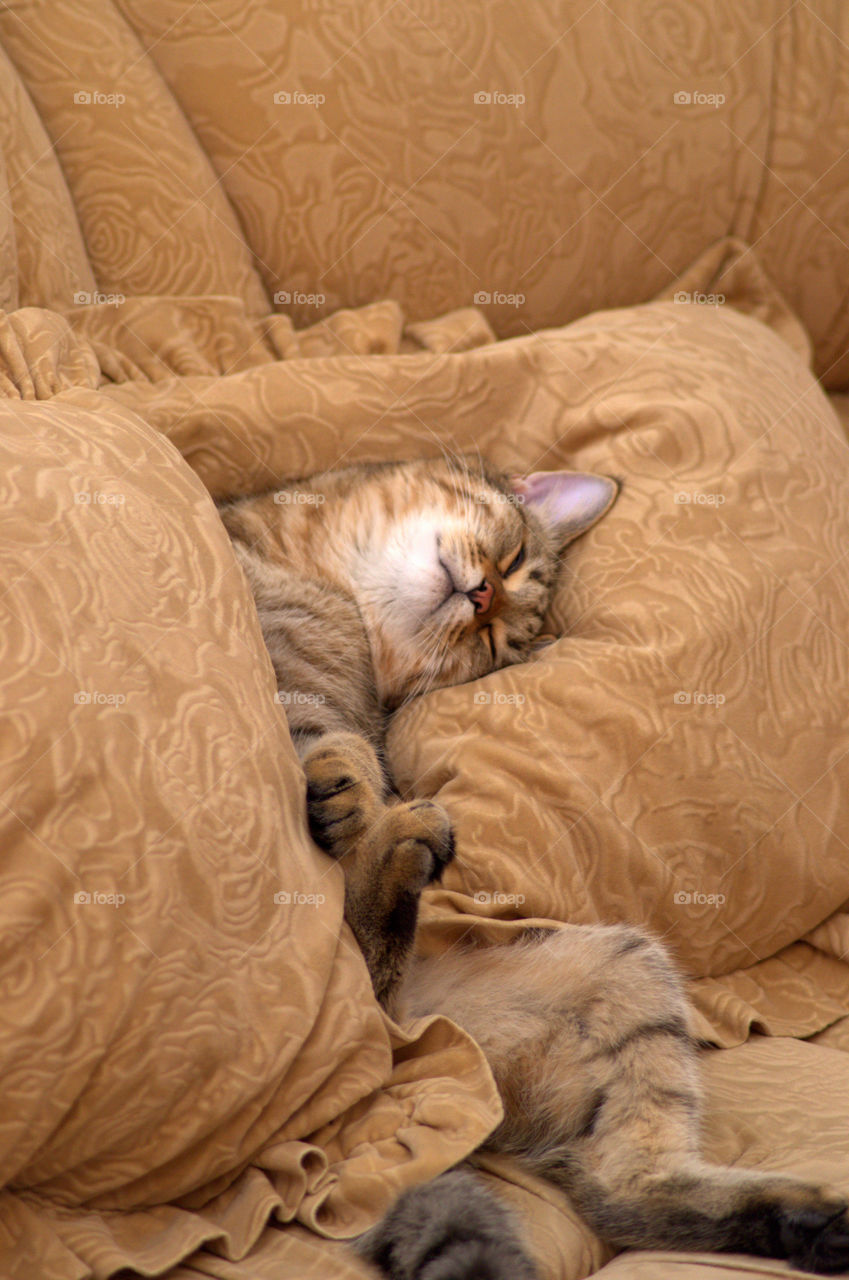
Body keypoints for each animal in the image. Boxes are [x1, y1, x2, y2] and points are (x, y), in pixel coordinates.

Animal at [218, 455, 849, 1274]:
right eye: (513, 559)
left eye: (489, 644)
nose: (484, 595)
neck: (317, 577)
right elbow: (326, 741)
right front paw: (346, 790)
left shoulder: (322, 706)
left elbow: (339, 745)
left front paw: (353, 795)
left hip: (624, 978)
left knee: (615, 1188)